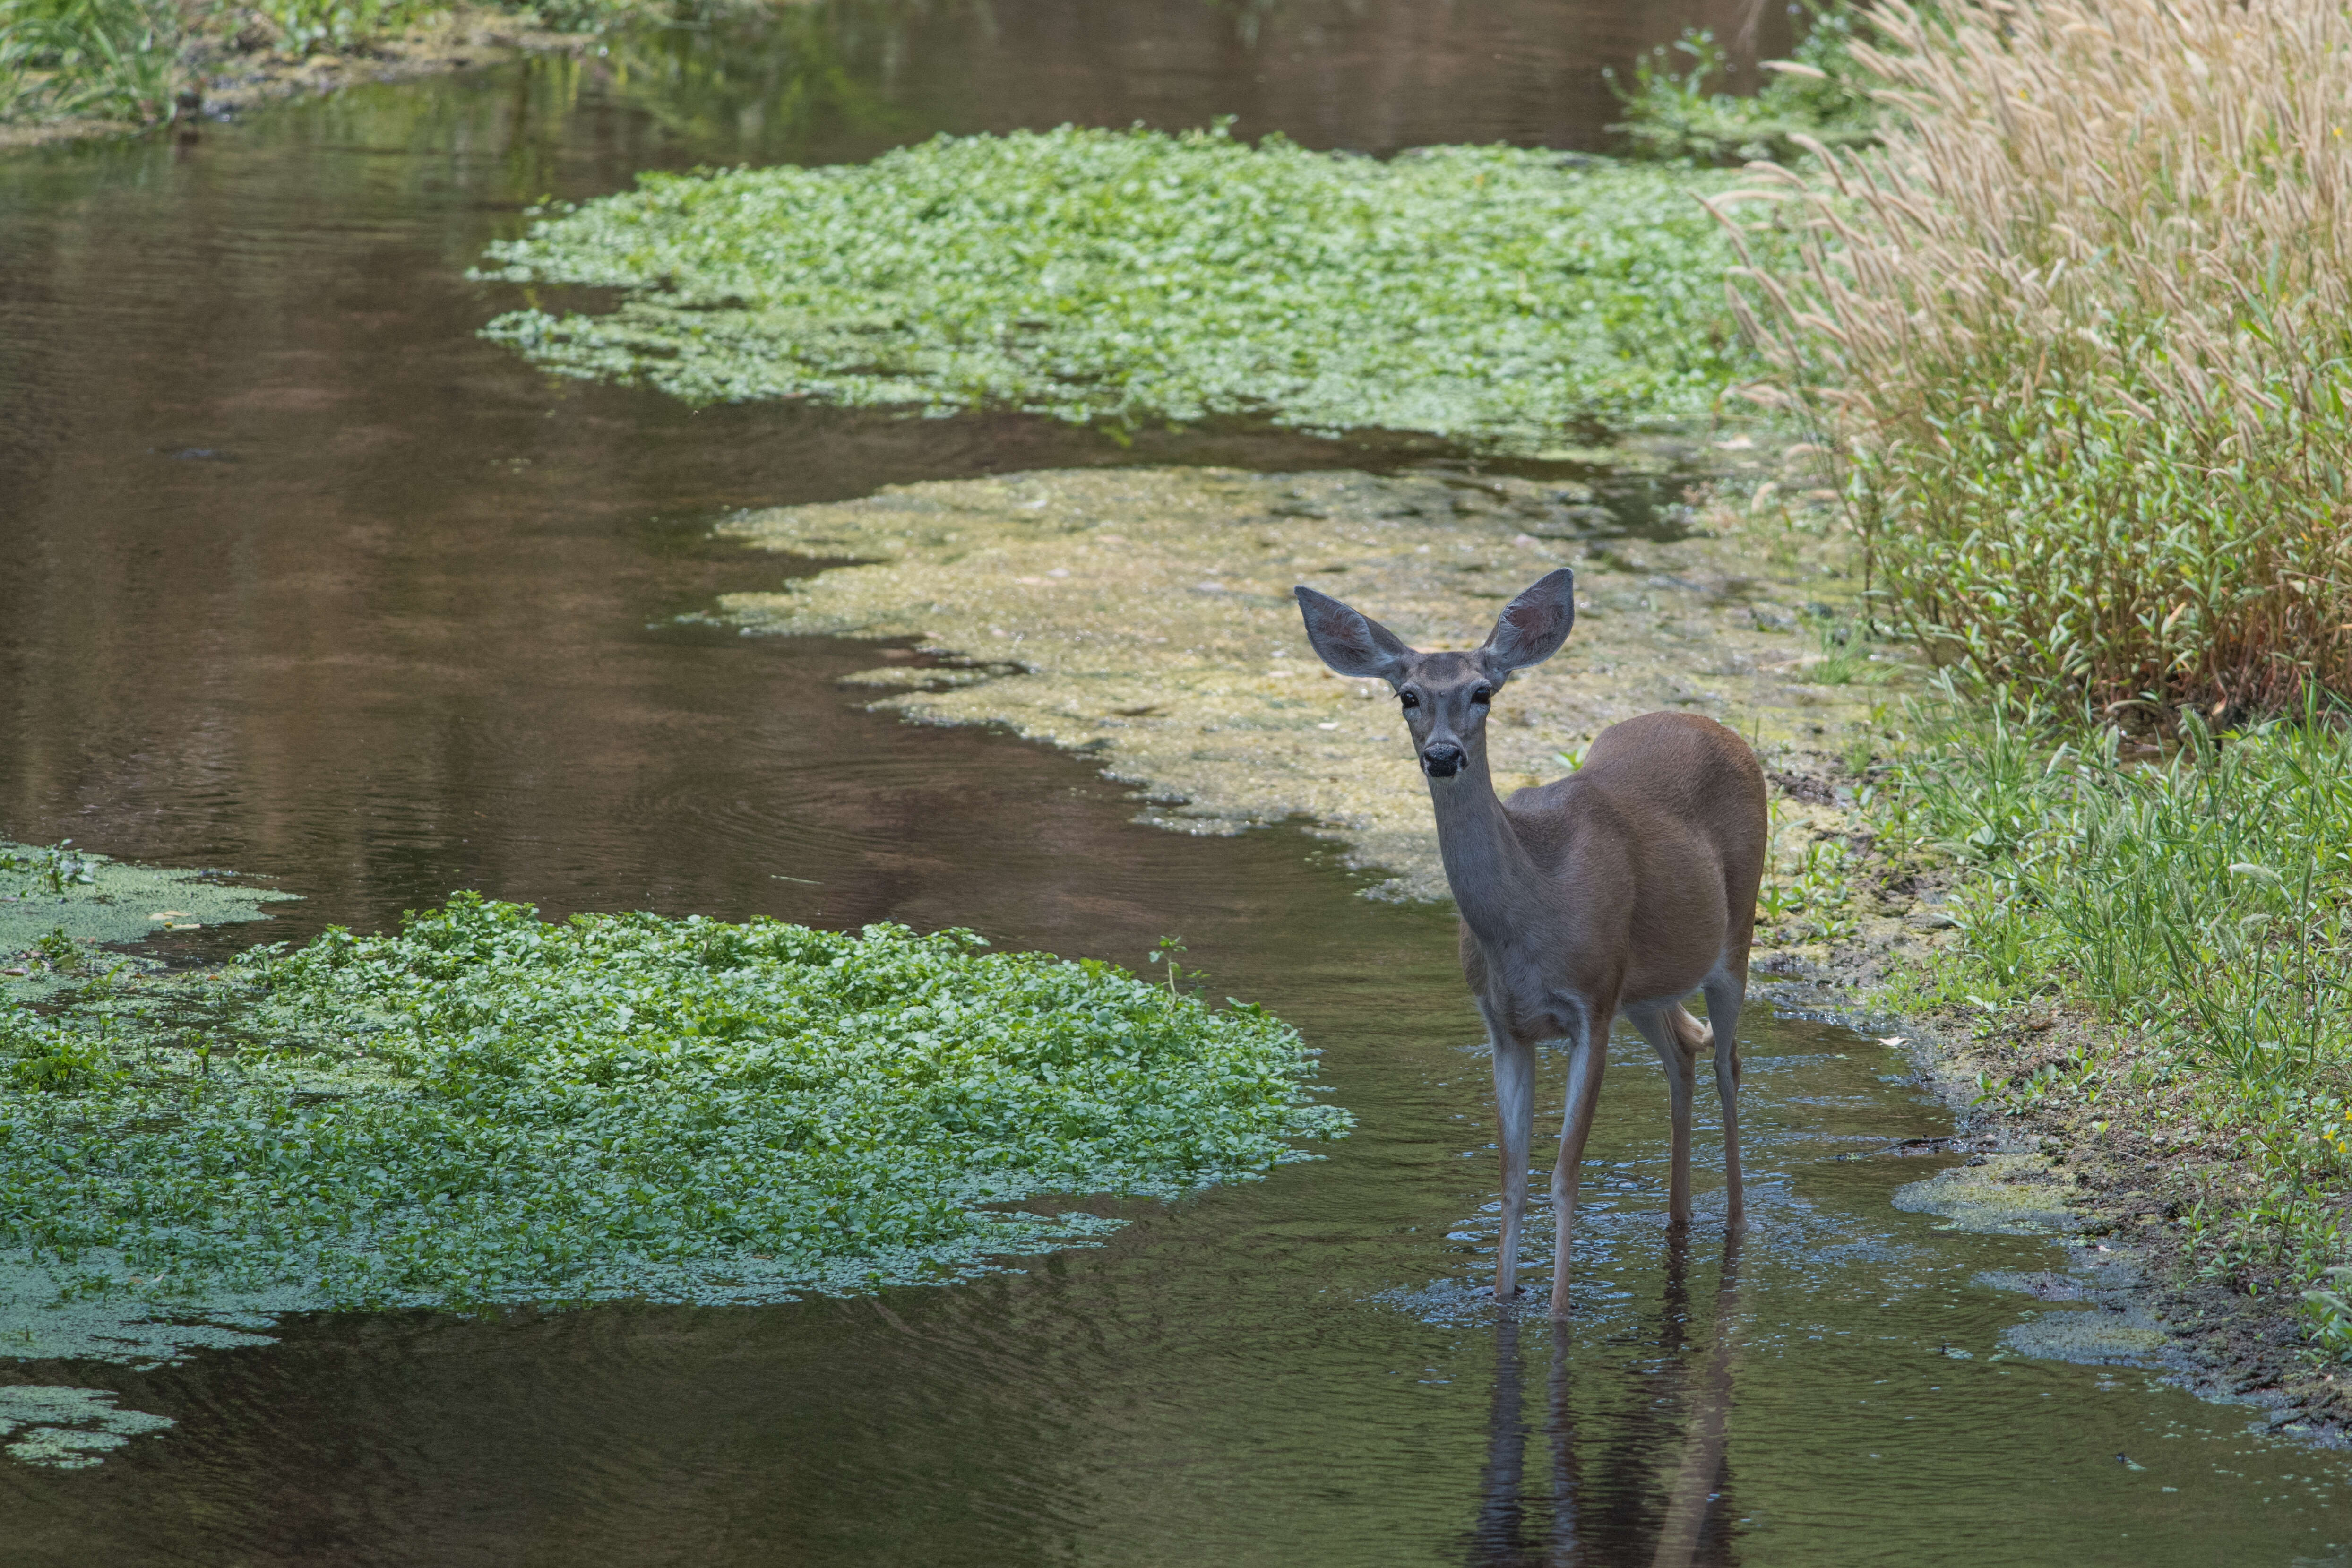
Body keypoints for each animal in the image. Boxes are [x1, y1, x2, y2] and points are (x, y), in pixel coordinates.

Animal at [1308, 571, 1768, 1316]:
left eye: (1483, 692)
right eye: (1407, 695)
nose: (1443, 755)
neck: (1530, 918)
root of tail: (1716, 725)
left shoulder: (1591, 1005)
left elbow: (1563, 1175)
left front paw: (1557, 1312)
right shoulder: (1503, 1025)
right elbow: (1513, 1179)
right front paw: (1504, 1299)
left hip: (1734, 935)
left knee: (1728, 1060)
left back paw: (1735, 1223)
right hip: (1645, 987)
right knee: (1683, 1054)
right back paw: (1677, 1216)